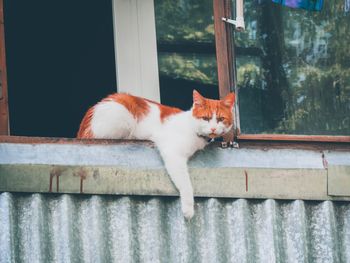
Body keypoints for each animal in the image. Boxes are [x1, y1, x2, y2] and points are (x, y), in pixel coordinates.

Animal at [76, 90, 235, 219]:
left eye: (220, 119)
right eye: (206, 118)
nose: (213, 128)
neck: (192, 128)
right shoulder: (173, 153)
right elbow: (186, 184)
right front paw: (188, 209)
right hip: (122, 118)